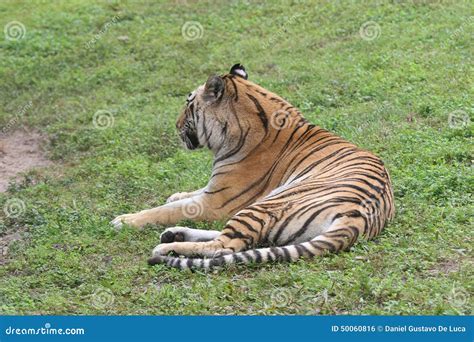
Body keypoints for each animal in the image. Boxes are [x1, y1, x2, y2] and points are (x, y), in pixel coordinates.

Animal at [109, 63, 394, 270]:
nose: (176, 125)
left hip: (268, 203)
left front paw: (124, 220)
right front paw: (174, 195)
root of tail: (358, 220)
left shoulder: (216, 202)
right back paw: (173, 235)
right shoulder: (213, 190)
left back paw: (167, 247)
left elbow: (163, 211)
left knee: (225, 246)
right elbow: (183, 196)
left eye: (188, 105)